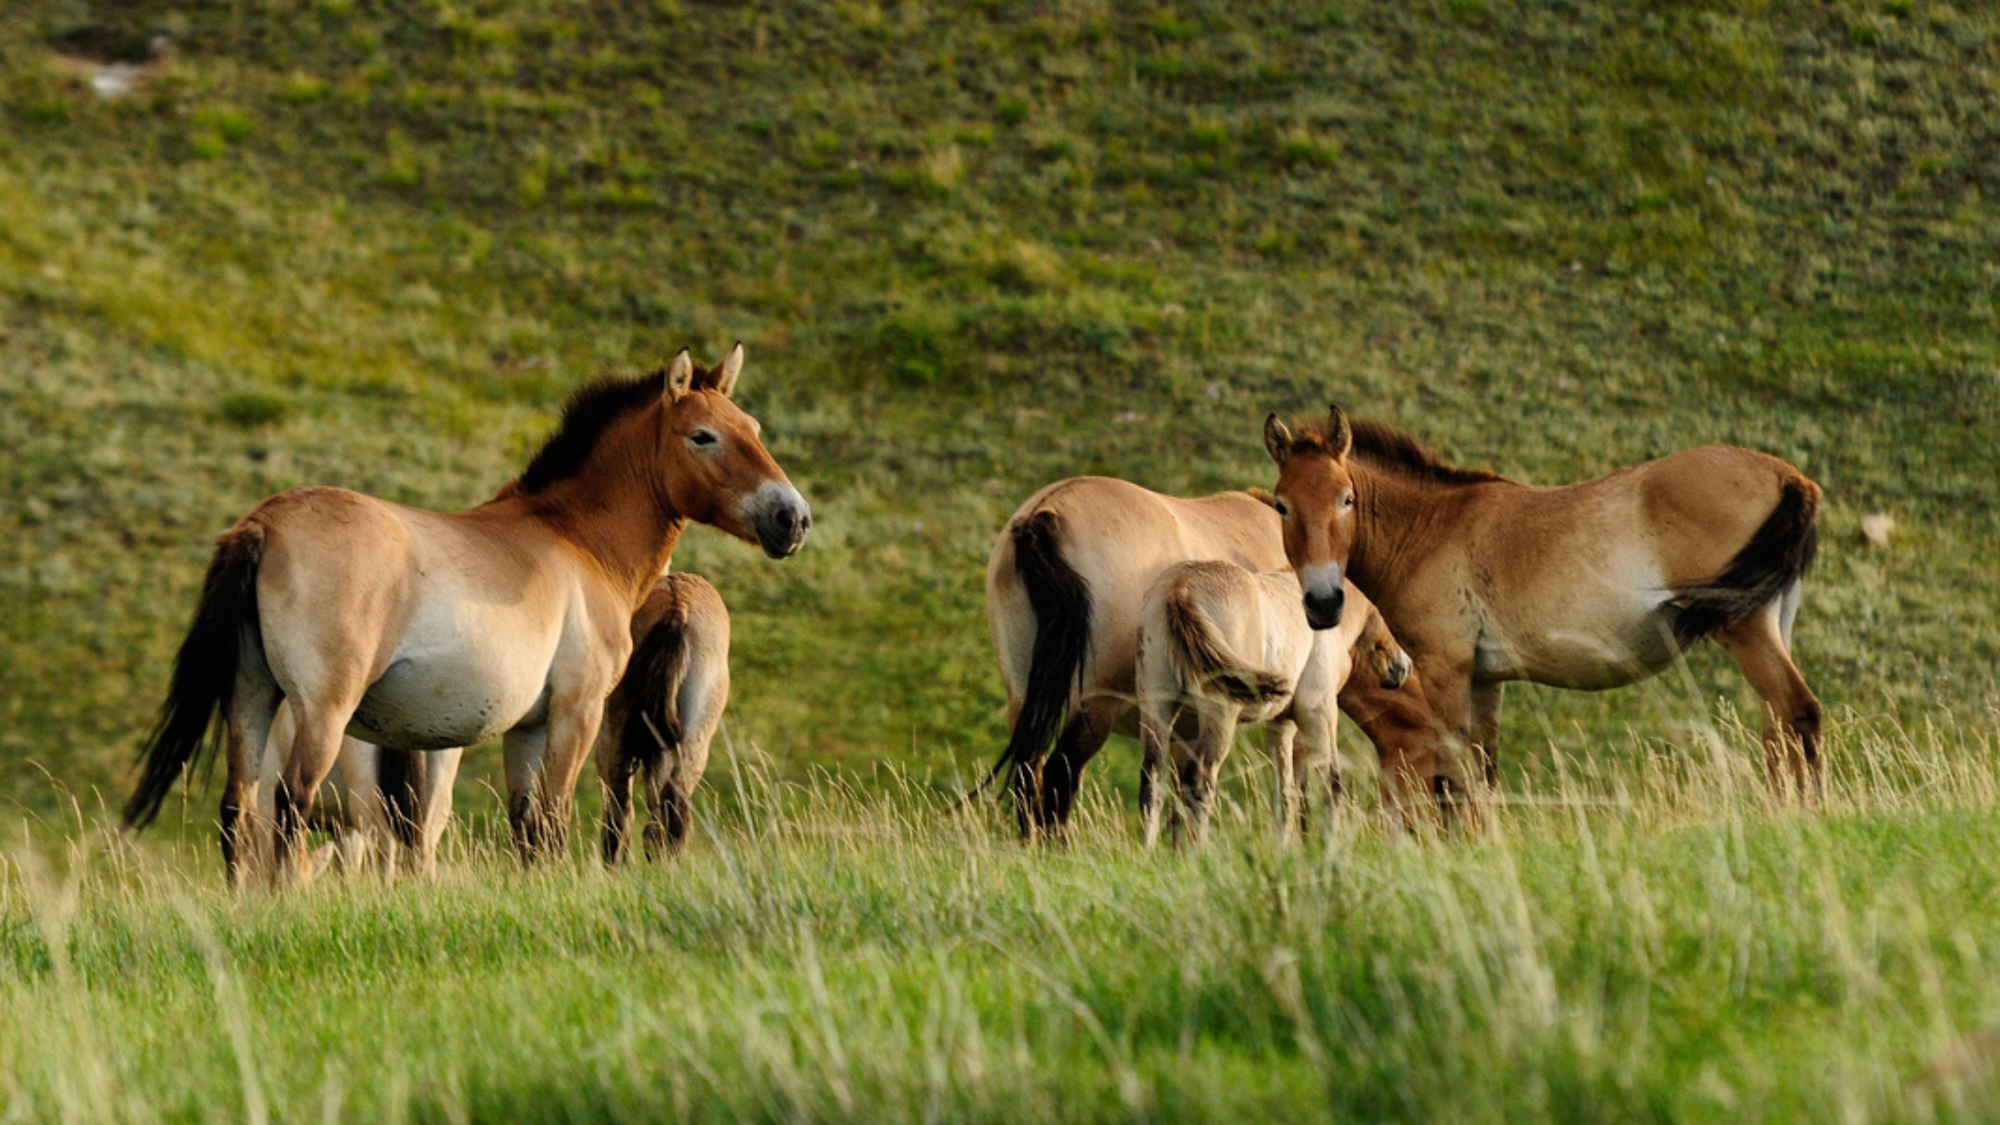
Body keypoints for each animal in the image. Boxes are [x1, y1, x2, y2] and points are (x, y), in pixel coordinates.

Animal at [1135, 560, 1414, 847]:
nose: (1402, 667)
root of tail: (1180, 588)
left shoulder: (1281, 724)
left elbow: (1285, 793)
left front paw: (1286, 849)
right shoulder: (1319, 709)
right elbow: (1331, 781)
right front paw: (1331, 847)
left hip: (1157, 705)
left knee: (1152, 780)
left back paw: (1149, 851)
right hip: (1220, 713)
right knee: (1199, 780)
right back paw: (1197, 852)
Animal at [1262, 407, 1824, 800]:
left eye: (1346, 499)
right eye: (1283, 506)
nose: (1324, 602)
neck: (1431, 530)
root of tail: (1788, 476)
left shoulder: (1446, 668)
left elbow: (1455, 774)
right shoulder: (1485, 679)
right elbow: (1482, 770)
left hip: (1746, 630)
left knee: (1799, 713)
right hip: (1771, 624)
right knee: (1779, 730)